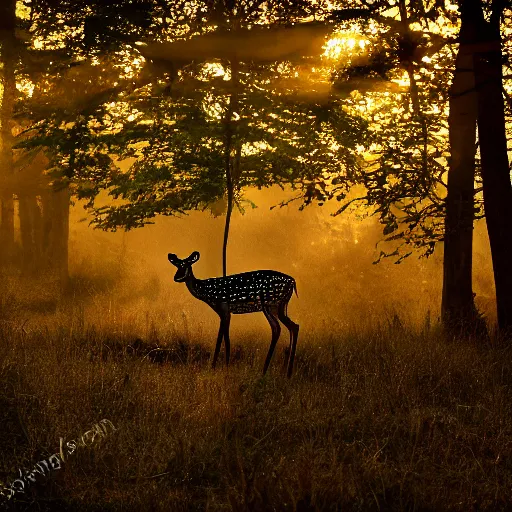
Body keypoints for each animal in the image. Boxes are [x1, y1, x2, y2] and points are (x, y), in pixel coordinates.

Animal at [168, 252, 298, 376]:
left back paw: (279, 371)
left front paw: (217, 367)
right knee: (285, 327)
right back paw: (280, 372)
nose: (177, 277)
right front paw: (222, 365)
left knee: (286, 327)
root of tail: (293, 282)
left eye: (186, 265)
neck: (207, 293)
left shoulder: (224, 309)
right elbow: (224, 337)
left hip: (272, 304)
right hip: (275, 306)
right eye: (176, 265)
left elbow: (222, 338)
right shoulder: (224, 313)